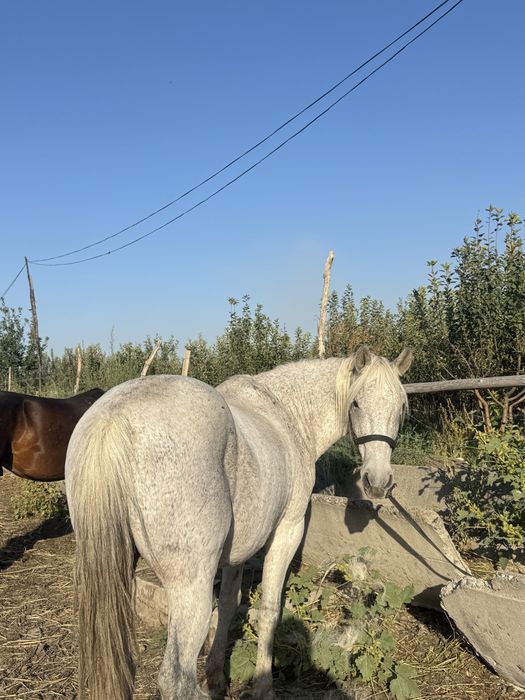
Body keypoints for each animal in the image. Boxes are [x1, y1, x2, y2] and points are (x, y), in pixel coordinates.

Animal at [65, 345, 412, 700]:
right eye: (356, 403)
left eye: (400, 408)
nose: (378, 482)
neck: (287, 415)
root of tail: (114, 416)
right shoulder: (287, 531)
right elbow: (271, 610)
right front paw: (263, 685)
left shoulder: (237, 552)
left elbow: (229, 607)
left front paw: (217, 677)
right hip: (191, 588)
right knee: (176, 679)